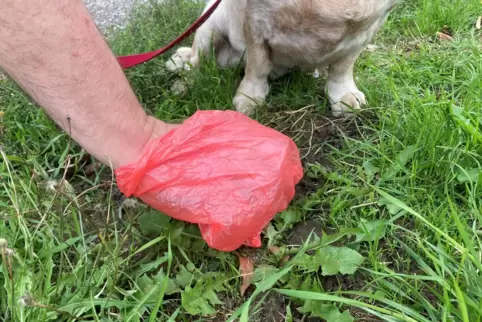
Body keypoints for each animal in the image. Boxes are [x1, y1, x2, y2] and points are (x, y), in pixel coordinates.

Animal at [166, 0, 400, 115]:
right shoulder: (256, 21)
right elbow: (258, 66)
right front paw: (250, 97)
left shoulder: (366, 30)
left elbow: (343, 67)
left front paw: (342, 95)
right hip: (210, 24)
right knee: (196, 62)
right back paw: (183, 84)